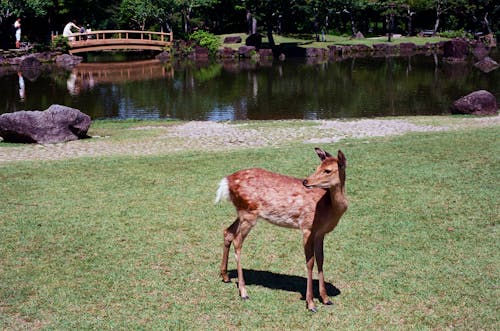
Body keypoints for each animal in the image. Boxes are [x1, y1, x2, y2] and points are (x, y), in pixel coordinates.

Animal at [215, 148, 348, 314]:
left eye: (327, 170)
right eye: (317, 167)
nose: (306, 181)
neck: (328, 207)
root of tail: (226, 182)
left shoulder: (320, 233)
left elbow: (321, 259)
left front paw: (325, 299)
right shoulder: (307, 227)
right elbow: (309, 262)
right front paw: (311, 304)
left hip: (242, 212)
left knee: (228, 232)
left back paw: (226, 276)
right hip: (248, 213)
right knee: (237, 241)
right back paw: (244, 292)